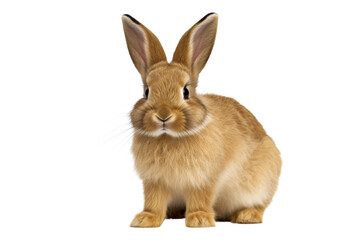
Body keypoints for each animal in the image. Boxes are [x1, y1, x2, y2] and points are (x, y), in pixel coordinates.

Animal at [121, 12, 282, 227]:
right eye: (147, 92)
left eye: (186, 92)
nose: (163, 115)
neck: (169, 137)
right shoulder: (155, 181)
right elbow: (153, 200)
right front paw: (145, 219)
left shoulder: (203, 179)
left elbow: (200, 197)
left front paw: (199, 220)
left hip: (262, 181)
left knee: (260, 205)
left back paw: (246, 216)